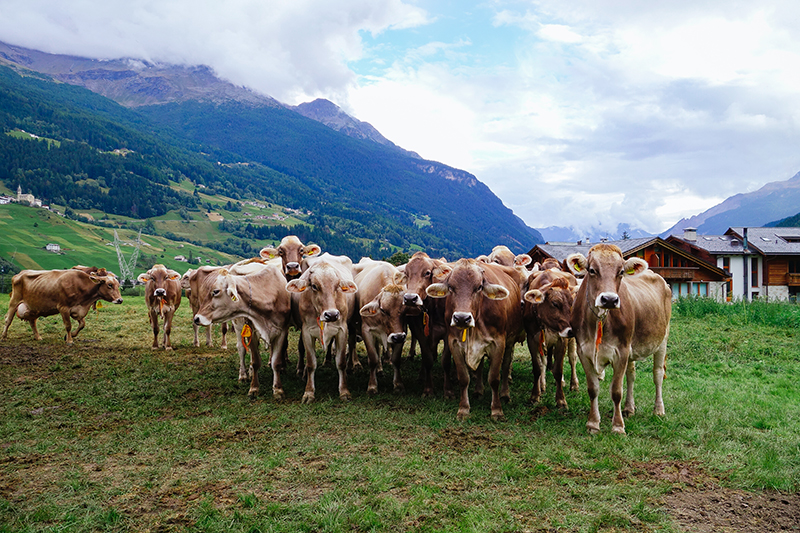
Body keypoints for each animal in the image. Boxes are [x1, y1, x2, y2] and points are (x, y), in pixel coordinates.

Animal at [192, 262, 292, 400]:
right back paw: (244, 374)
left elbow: (275, 362)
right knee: (241, 349)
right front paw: (254, 388)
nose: (196, 318)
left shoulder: (281, 331)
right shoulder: (252, 331)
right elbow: (255, 361)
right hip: (239, 326)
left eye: (215, 291)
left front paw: (278, 390)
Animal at [282, 251, 354, 402]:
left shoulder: (342, 330)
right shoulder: (306, 332)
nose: (331, 315)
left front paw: (344, 391)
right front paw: (309, 392)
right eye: (314, 286)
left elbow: (341, 363)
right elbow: (311, 363)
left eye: (337, 286)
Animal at [354, 258, 406, 394]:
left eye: (405, 309)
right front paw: (372, 386)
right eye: (382, 309)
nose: (397, 337)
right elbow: (373, 358)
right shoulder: (366, 330)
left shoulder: (402, 332)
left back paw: (380, 369)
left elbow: (396, 359)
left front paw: (398, 384)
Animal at [424, 258, 524, 420]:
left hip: (509, 342)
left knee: (505, 366)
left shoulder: (498, 343)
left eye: (479, 287)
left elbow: (494, 378)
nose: (461, 318)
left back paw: (505, 394)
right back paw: (478, 391)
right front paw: (463, 408)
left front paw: (497, 410)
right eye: (451, 287)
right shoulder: (454, 343)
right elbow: (464, 378)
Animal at [564, 243, 672, 434]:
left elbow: (616, 391)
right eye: (592, 270)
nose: (609, 299)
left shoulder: (620, 351)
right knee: (631, 374)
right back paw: (629, 408)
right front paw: (593, 423)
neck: (599, 320)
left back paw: (658, 409)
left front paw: (618, 426)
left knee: (658, 374)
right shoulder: (584, 351)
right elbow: (593, 389)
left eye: (621, 271)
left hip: (662, 340)